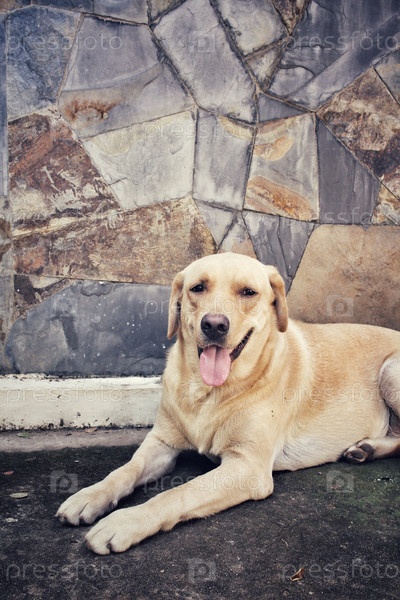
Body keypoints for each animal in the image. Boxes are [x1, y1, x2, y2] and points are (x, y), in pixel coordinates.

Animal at [57, 252, 400, 554]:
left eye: (248, 292)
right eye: (198, 287)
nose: (214, 325)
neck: (207, 392)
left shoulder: (247, 466)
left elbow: (178, 493)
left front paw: (126, 521)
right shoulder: (162, 442)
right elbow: (126, 470)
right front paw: (91, 495)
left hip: (390, 371)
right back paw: (366, 449)